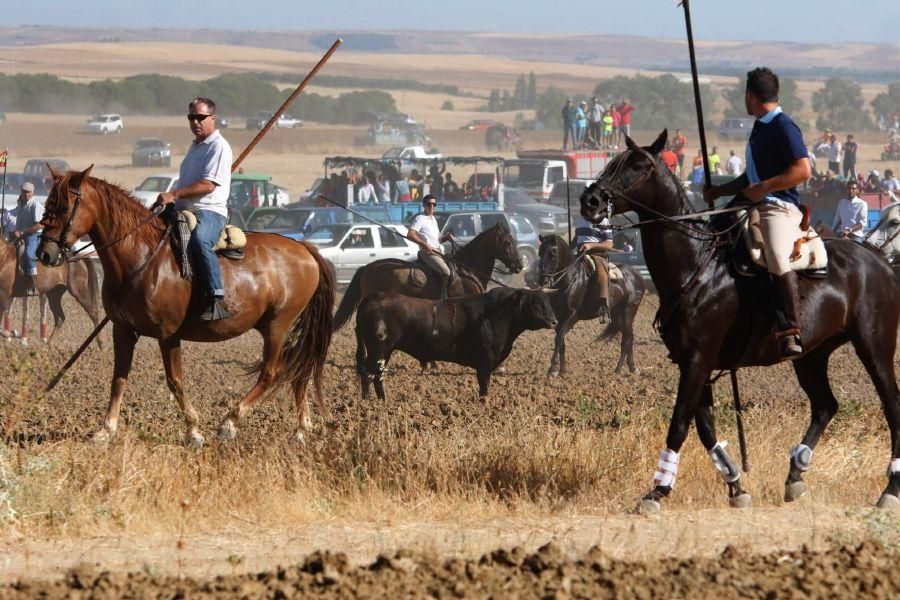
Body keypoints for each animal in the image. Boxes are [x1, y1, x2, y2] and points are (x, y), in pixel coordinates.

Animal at [37, 166, 336, 448]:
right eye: (47, 205)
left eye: (64, 206)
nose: (44, 254)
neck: (142, 258)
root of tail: (304, 248)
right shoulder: (122, 330)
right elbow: (118, 379)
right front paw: (105, 431)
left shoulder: (168, 334)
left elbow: (175, 380)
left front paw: (193, 431)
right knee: (297, 370)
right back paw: (300, 431)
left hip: (277, 325)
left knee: (272, 372)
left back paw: (229, 422)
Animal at [354, 288, 556, 400]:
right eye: (536, 303)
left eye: (548, 301)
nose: (554, 321)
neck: (496, 314)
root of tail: (373, 297)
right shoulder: (485, 362)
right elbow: (484, 387)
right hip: (379, 350)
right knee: (371, 375)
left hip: (383, 352)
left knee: (373, 375)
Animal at [536, 234, 648, 376]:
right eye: (540, 252)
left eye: (553, 252)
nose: (542, 279)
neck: (571, 279)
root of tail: (638, 275)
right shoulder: (559, 317)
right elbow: (561, 342)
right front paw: (562, 370)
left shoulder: (572, 316)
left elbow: (559, 338)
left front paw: (552, 368)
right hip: (618, 313)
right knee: (628, 338)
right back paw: (629, 367)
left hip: (628, 312)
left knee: (628, 338)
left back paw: (621, 368)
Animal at [580, 130, 896, 510]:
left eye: (638, 165)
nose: (590, 200)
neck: (695, 265)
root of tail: (879, 261)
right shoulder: (692, 361)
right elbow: (704, 428)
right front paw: (735, 485)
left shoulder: (698, 360)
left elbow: (679, 424)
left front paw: (657, 490)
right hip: (811, 355)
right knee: (824, 406)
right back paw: (795, 476)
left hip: (874, 348)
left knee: (891, 406)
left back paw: (890, 490)